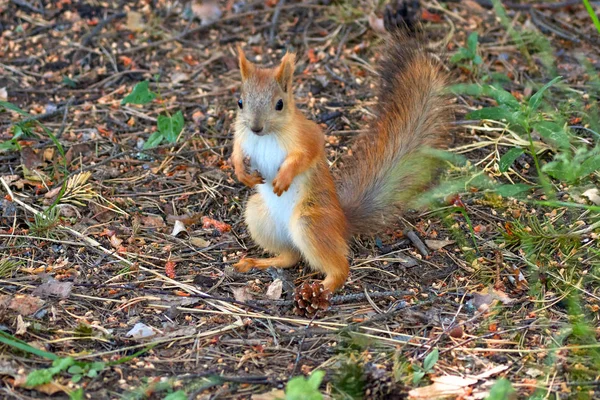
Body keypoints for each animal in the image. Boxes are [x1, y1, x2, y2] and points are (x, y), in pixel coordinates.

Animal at [229, 9, 450, 294]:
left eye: (279, 104)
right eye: (240, 102)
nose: (256, 127)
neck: (266, 136)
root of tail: (342, 222)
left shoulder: (307, 136)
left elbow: (306, 155)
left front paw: (284, 177)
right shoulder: (241, 135)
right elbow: (236, 151)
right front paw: (240, 171)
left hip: (310, 223)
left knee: (339, 267)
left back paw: (323, 287)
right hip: (259, 216)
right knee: (290, 257)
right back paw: (256, 262)